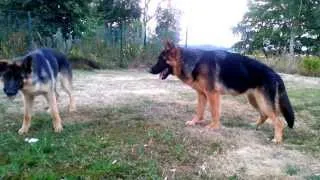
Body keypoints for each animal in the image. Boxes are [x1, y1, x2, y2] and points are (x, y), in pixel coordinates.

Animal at [150, 41, 296, 143]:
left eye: (161, 60)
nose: (150, 70)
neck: (193, 62)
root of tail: (275, 74)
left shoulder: (212, 95)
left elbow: (214, 113)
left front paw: (213, 127)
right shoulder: (202, 95)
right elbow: (199, 111)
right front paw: (195, 122)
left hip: (263, 102)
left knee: (279, 122)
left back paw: (277, 139)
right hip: (255, 100)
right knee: (264, 115)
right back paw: (254, 126)